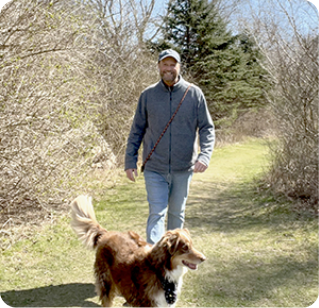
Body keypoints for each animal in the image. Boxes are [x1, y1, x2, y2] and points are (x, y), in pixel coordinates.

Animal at [70, 196, 208, 306]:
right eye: (185, 248)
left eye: (192, 245)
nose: (204, 259)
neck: (160, 270)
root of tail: (107, 234)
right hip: (106, 284)